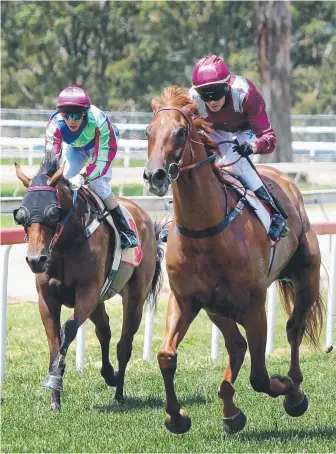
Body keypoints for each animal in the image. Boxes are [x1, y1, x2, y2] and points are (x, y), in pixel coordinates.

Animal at [14, 155, 164, 412]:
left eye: (53, 213)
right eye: (21, 216)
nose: (36, 260)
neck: (65, 244)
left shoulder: (87, 293)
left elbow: (68, 330)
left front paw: (55, 379)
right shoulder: (47, 299)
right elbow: (54, 342)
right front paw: (55, 399)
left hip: (134, 297)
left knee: (124, 344)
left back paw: (119, 392)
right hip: (99, 302)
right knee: (104, 330)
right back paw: (109, 374)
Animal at [143, 86, 324, 436]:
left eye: (180, 132)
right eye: (148, 132)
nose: (153, 175)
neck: (206, 231)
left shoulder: (254, 305)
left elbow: (261, 378)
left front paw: (288, 389)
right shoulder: (185, 300)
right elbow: (166, 356)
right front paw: (176, 417)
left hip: (306, 277)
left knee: (294, 329)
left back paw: (294, 389)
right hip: (217, 308)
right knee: (237, 345)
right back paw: (231, 411)